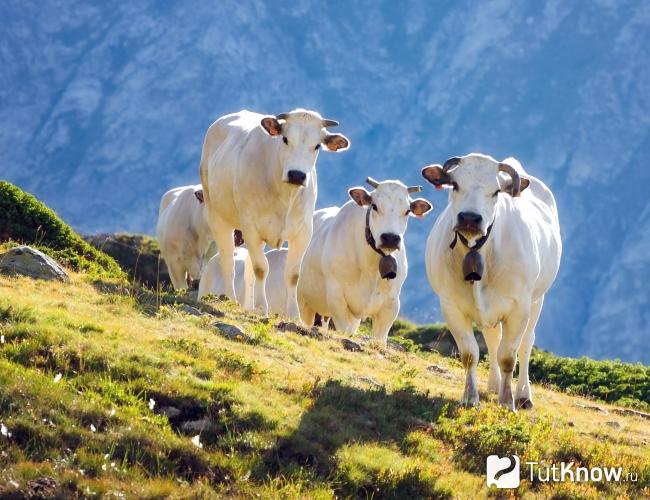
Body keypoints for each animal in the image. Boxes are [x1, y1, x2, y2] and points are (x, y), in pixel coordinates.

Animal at [199, 109, 349, 322]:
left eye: (317, 145)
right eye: (285, 139)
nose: (297, 174)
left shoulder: (303, 232)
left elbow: (292, 275)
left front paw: (294, 315)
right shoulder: (251, 226)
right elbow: (261, 268)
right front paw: (262, 307)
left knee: (247, 270)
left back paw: (248, 305)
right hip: (217, 214)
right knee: (228, 258)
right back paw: (230, 298)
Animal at [291, 178, 432, 342]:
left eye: (407, 211)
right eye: (374, 206)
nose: (390, 238)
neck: (371, 267)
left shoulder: (391, 304)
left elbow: (379, 339)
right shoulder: (336, 297)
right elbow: (345, 330)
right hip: (303, 300)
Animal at [421, 153, 561, 410]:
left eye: (496, 191)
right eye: (455, 185)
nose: (469, 218)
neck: (477, 249)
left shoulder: (519, 308)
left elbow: (508, 356)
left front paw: (507, 402)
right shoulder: (451, 306)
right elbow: (470, 354)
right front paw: (470, 397)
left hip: (537, 299)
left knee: (526, 343)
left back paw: (524, 395)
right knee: (493, 341)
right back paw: (494, 386)